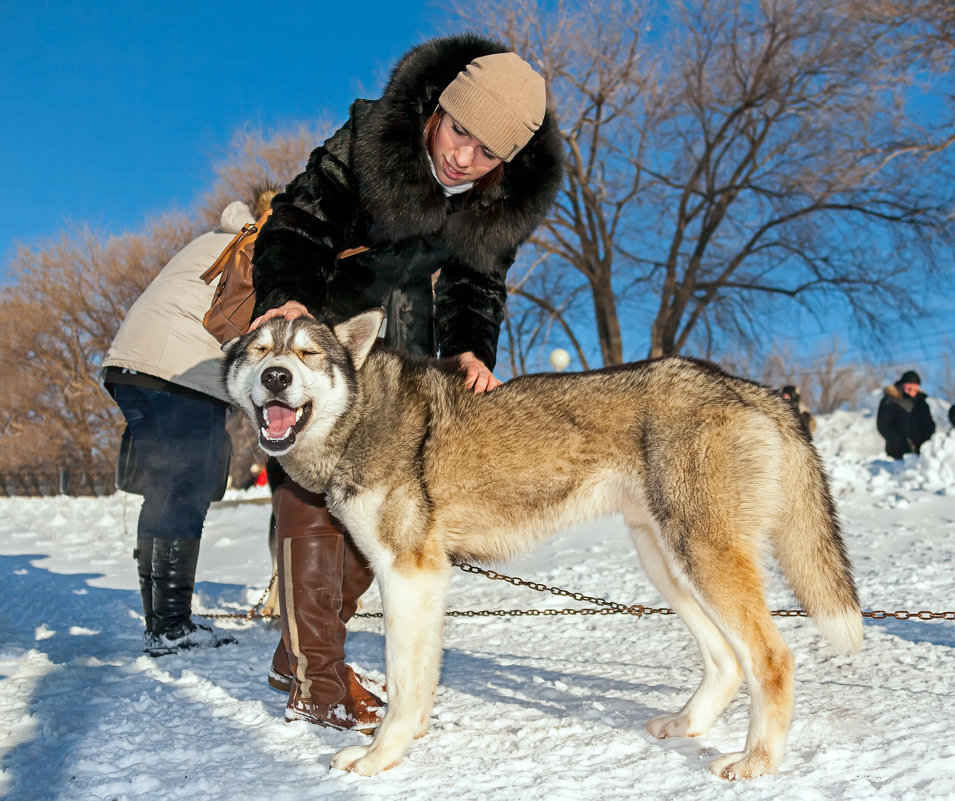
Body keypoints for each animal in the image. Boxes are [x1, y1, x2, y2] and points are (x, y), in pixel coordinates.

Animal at [226, 310, 868, 780]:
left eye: (307, 354)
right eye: (259, 352)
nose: (277, 377)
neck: (362, 414)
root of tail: (754, 390)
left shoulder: (408, 572)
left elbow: (404, 684)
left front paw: (379, 757)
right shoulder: (421, 580)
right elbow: (420, 678)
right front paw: (409, 738)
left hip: (702, 556)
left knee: (772, 660)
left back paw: (757, 762)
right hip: (666, 561)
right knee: (728, 660)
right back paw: (686, 725)